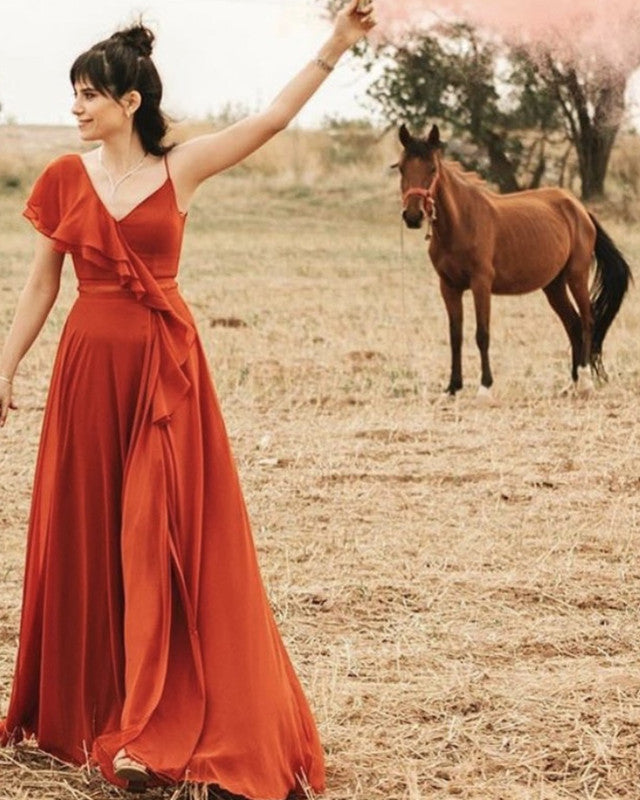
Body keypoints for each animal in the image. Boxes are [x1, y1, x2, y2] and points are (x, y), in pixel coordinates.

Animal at [398, 124, 632, 396]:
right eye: (401, 168)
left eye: (432, 169)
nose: (413, 216)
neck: (462, 222)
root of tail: (580, 209)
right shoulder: (448, 287)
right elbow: (455, 335)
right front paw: (453, 387)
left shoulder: (481, 284)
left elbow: (482, 334)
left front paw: (485, 387)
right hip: (554, 286)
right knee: (572, 324)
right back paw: (571, 383)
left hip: (577, 276)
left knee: (587, 321)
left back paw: (585, 381)